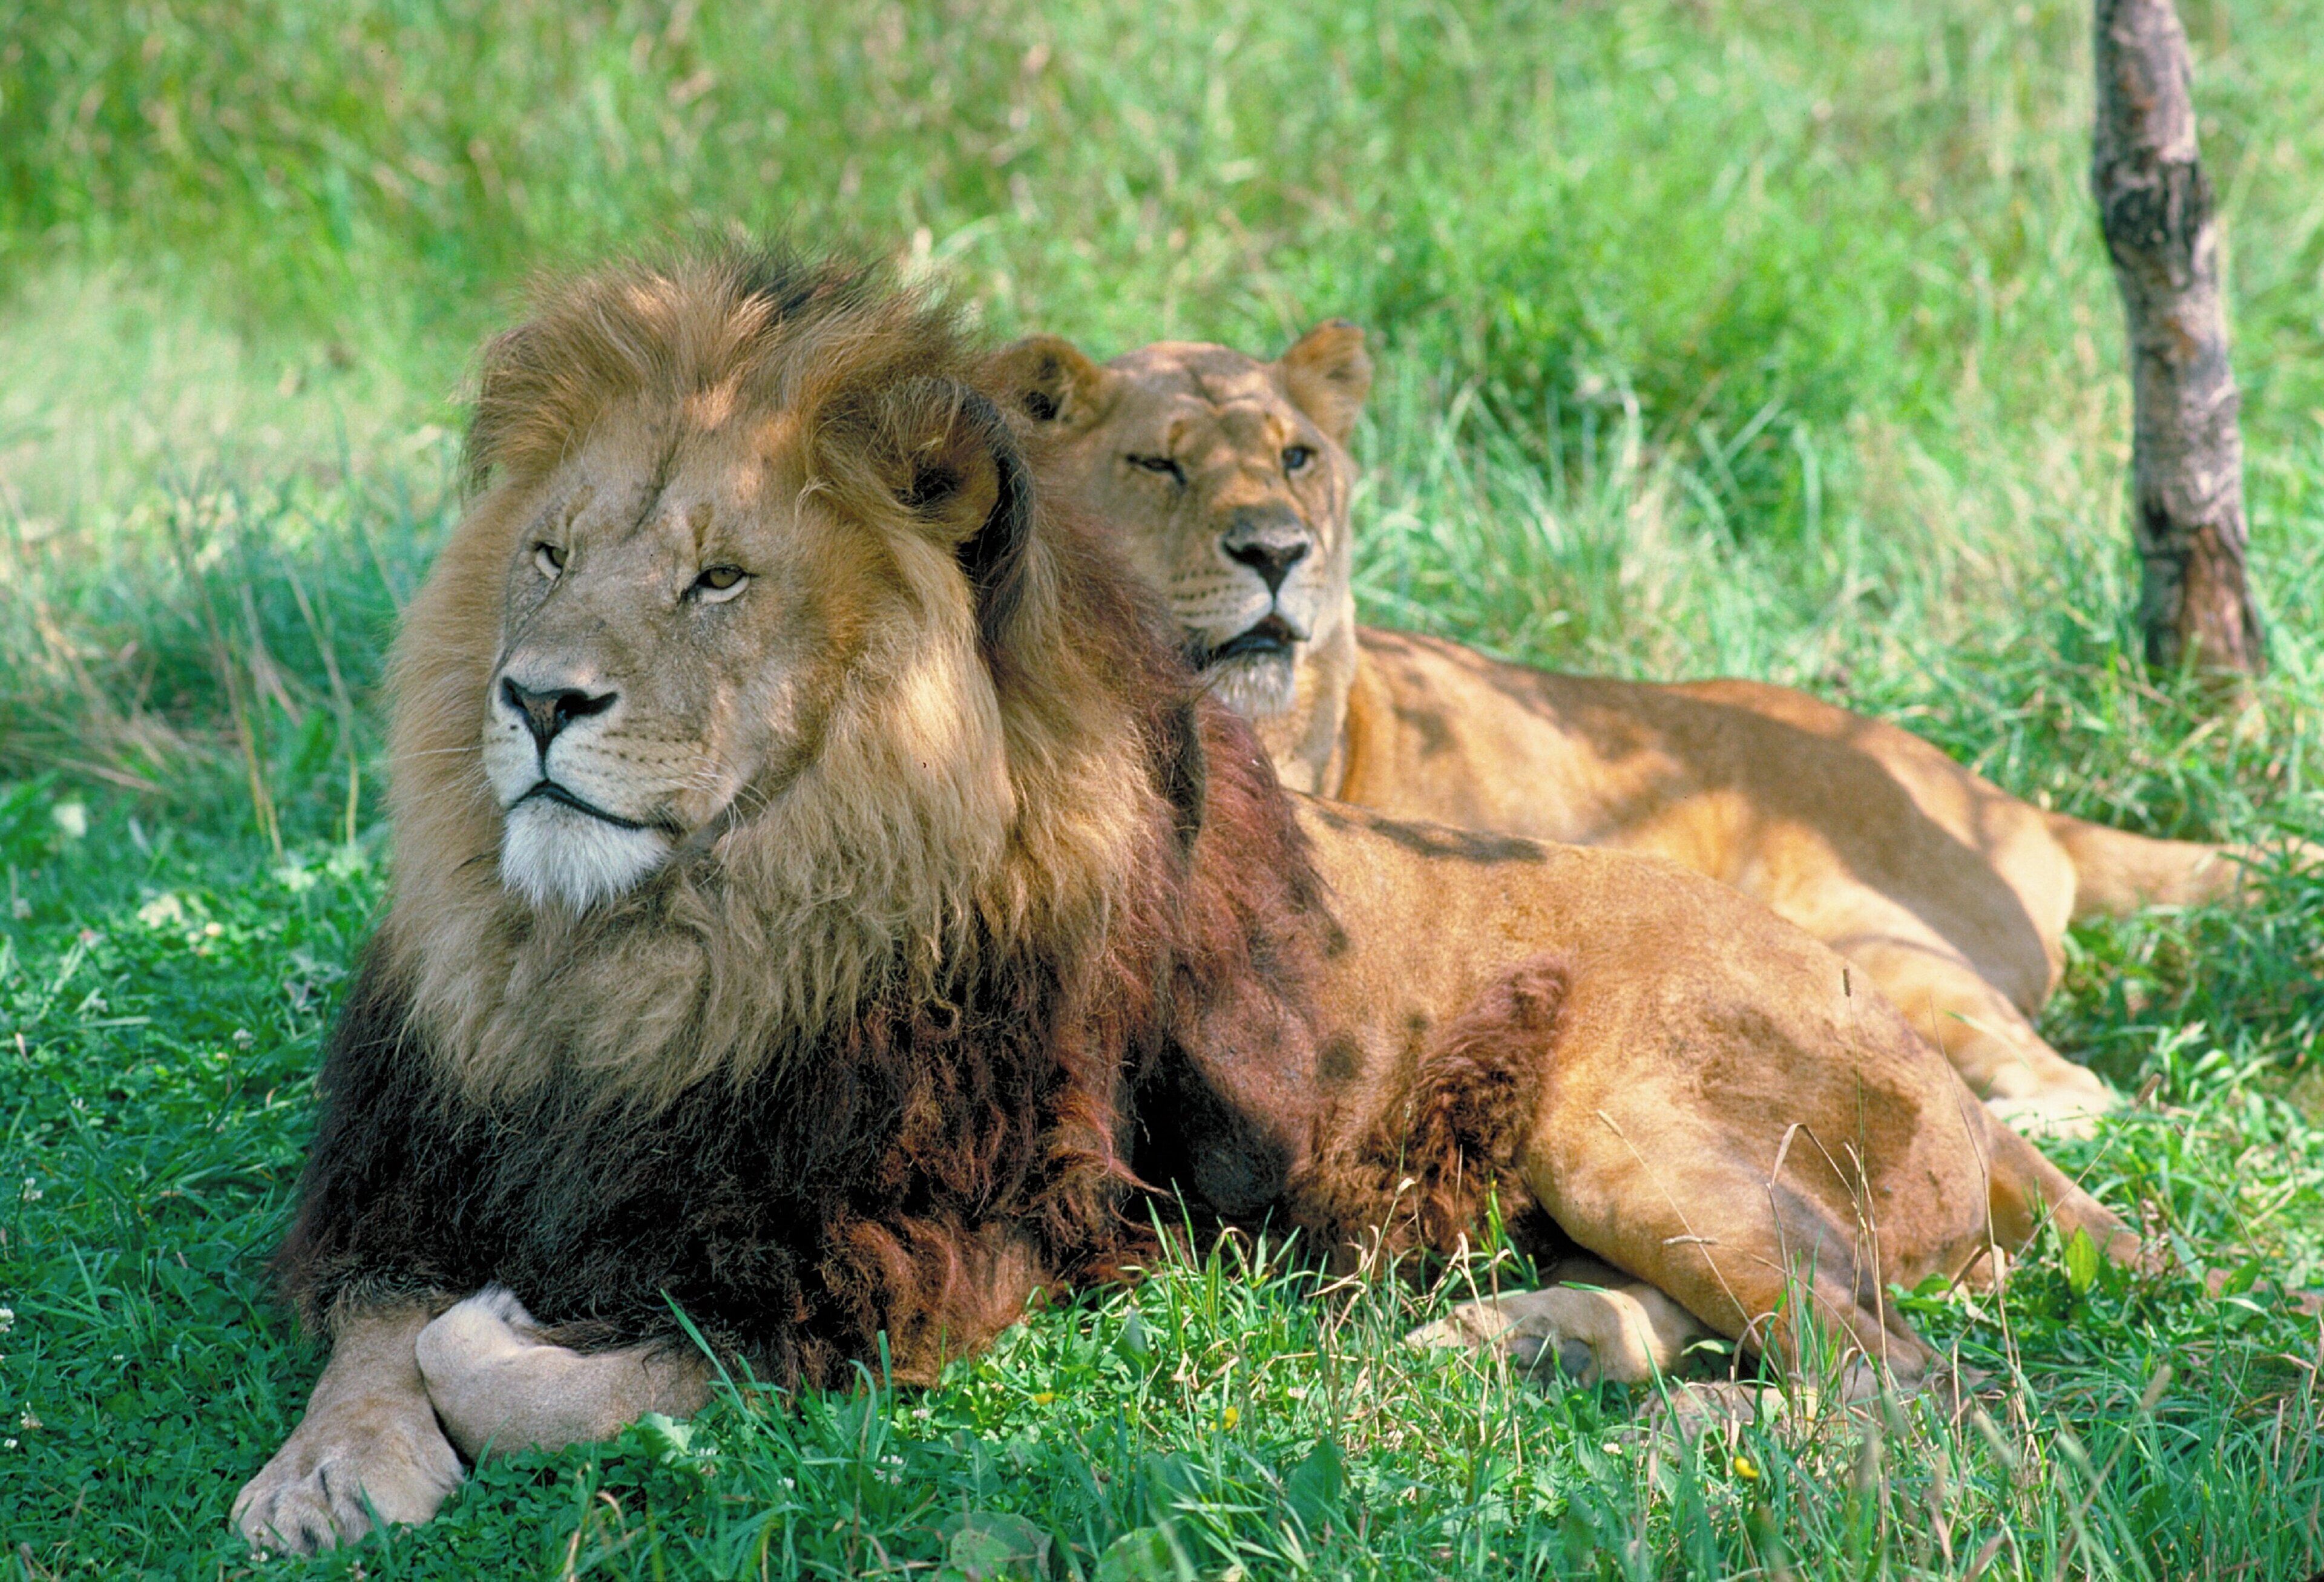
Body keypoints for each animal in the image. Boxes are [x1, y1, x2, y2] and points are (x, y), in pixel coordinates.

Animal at [232, 248, 2137, 1552]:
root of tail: (1927, 1054)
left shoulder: (944, 1245)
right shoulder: (435, 1153)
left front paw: (499, 1344)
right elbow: (376, 1328)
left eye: (720, 580)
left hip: (1634, 1114)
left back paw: (1660, 1450)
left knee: (1934, 1395)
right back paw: (1514, 1342)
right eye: (547, 556)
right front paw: (324, 1466)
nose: (536, 699)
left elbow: (554, 1369)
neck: (655, 944)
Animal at [991, 324, 2307, 1134]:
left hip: (1881, 945)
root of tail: (1999, 796)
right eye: (1157, 464)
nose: (1277, 549)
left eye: (1298, 455)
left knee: (2075, 1082)